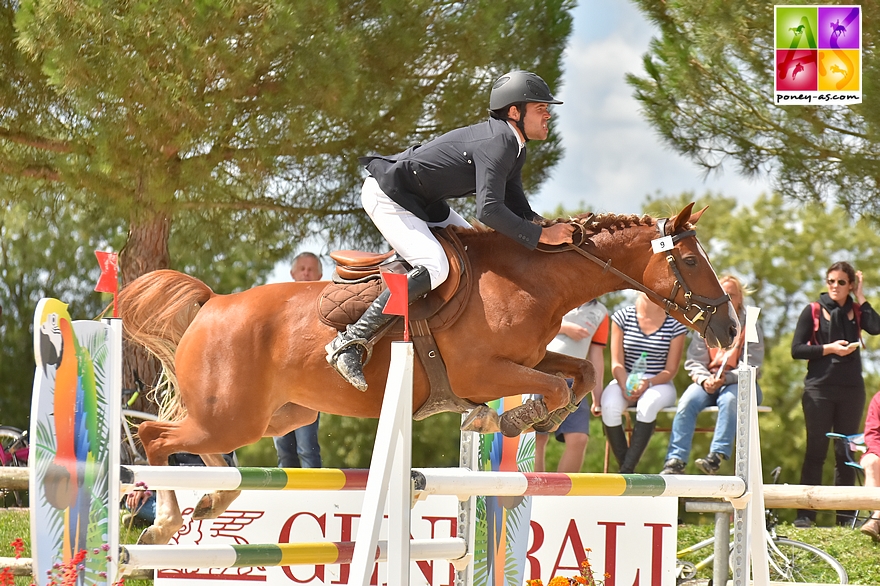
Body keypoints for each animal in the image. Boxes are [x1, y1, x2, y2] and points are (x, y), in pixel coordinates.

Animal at [117, 201, 736, 544]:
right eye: (688, 260)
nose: (730, 330)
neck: (531, 279)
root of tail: (213, 304)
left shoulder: (527, 360)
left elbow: (578, 374)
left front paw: (522, 421)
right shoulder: (485, 372)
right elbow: (555, 385)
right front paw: (507, 421)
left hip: (277, 417)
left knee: (202, 450)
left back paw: (211, 502)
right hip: (232, 416)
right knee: (156, 436)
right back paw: (164, 523)